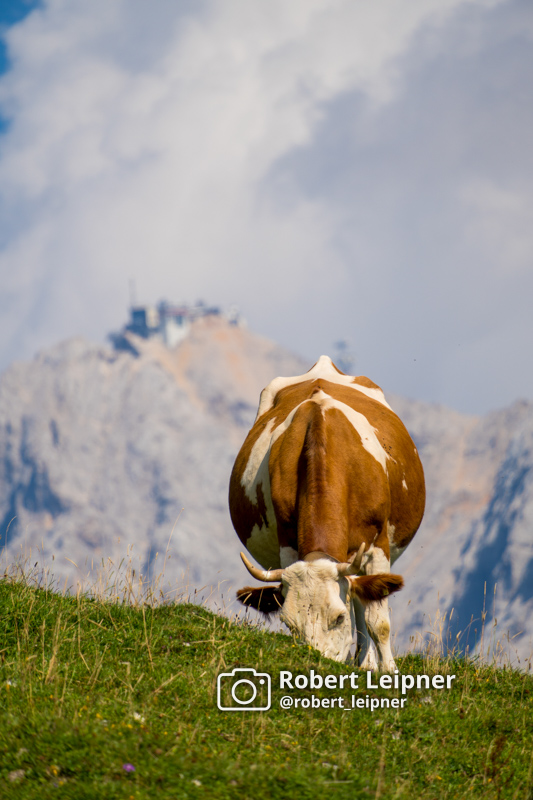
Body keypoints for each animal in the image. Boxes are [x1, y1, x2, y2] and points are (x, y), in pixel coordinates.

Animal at [229, 356, 425, 671]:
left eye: (338, 617)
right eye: (289, 624)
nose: (317, 664)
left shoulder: (377, 547)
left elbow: (378, 622)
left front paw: (390, 671)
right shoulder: (288, 545)